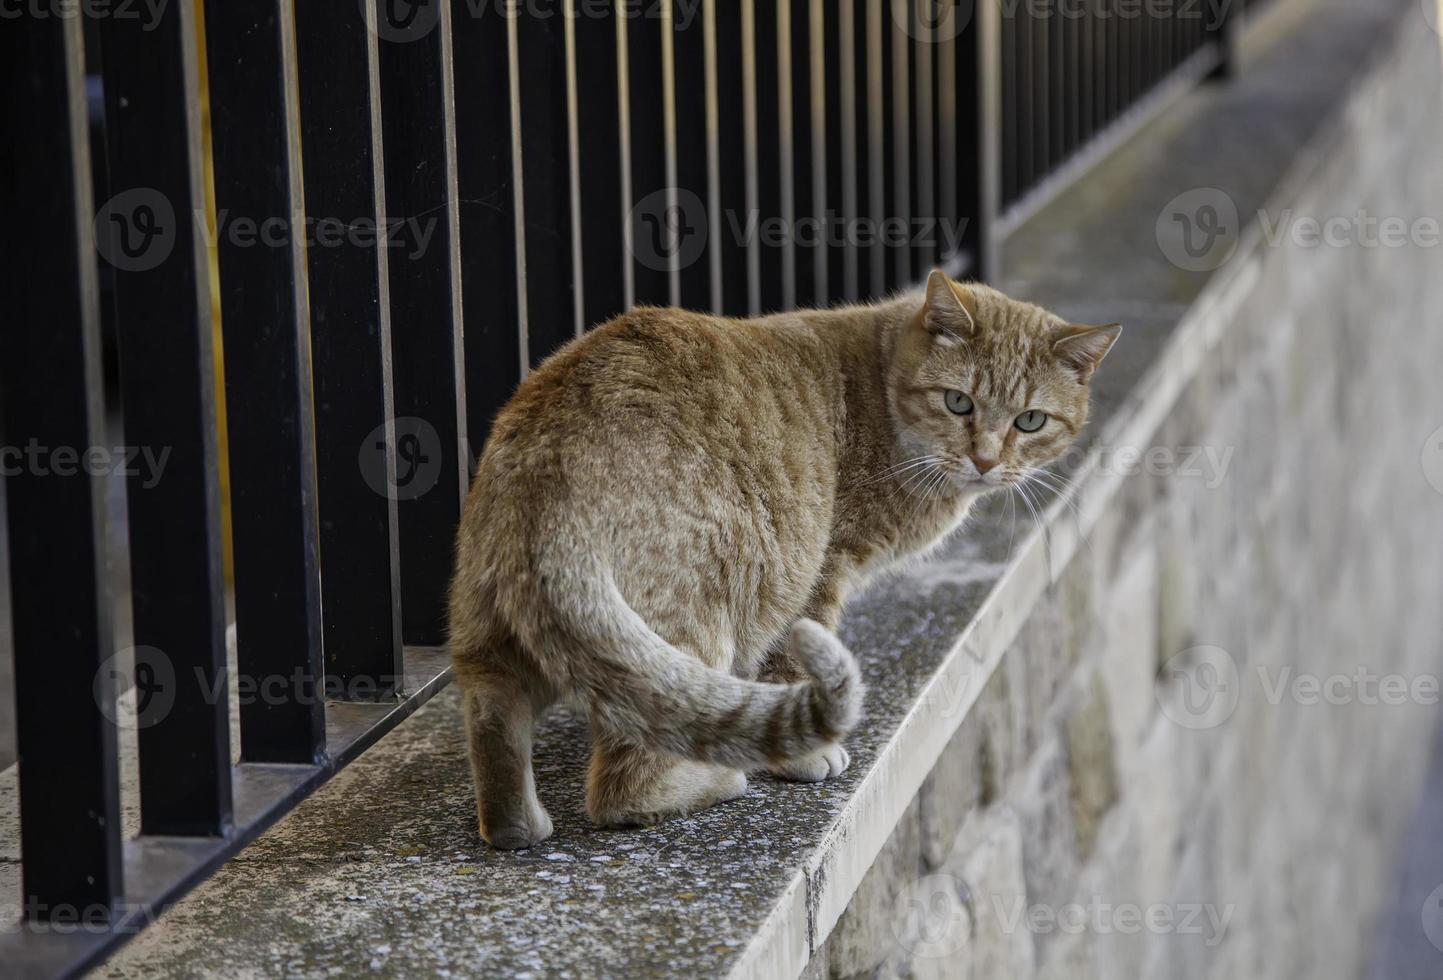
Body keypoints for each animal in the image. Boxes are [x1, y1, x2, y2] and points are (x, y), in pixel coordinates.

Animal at [444, 269, 1119, 848]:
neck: (879, 390)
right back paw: (717, 778)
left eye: (1030, 421)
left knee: (495, 724)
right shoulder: (822, 573)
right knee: (622, 789)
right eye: (959, 403)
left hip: (494, 640)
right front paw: (803, 757)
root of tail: (552, 461)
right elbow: (788, 670)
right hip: (693, 616)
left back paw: (516, 824)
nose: (984, 460)